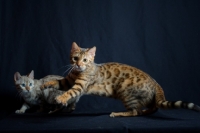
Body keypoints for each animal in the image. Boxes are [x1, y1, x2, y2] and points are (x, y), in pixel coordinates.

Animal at [41, 42, 200, 117]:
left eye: (85, 60)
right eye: (75, 58)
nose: (79, 64)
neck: (77, 73)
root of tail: (156, 83)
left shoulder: (79, 86)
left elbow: (69, 92)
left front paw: (61, 98)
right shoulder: (67, 81)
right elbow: (57, 82)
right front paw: (45, 84)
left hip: (126, 91)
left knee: (135, 112)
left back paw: (118, 113)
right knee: (151, 108)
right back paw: (145, 111)